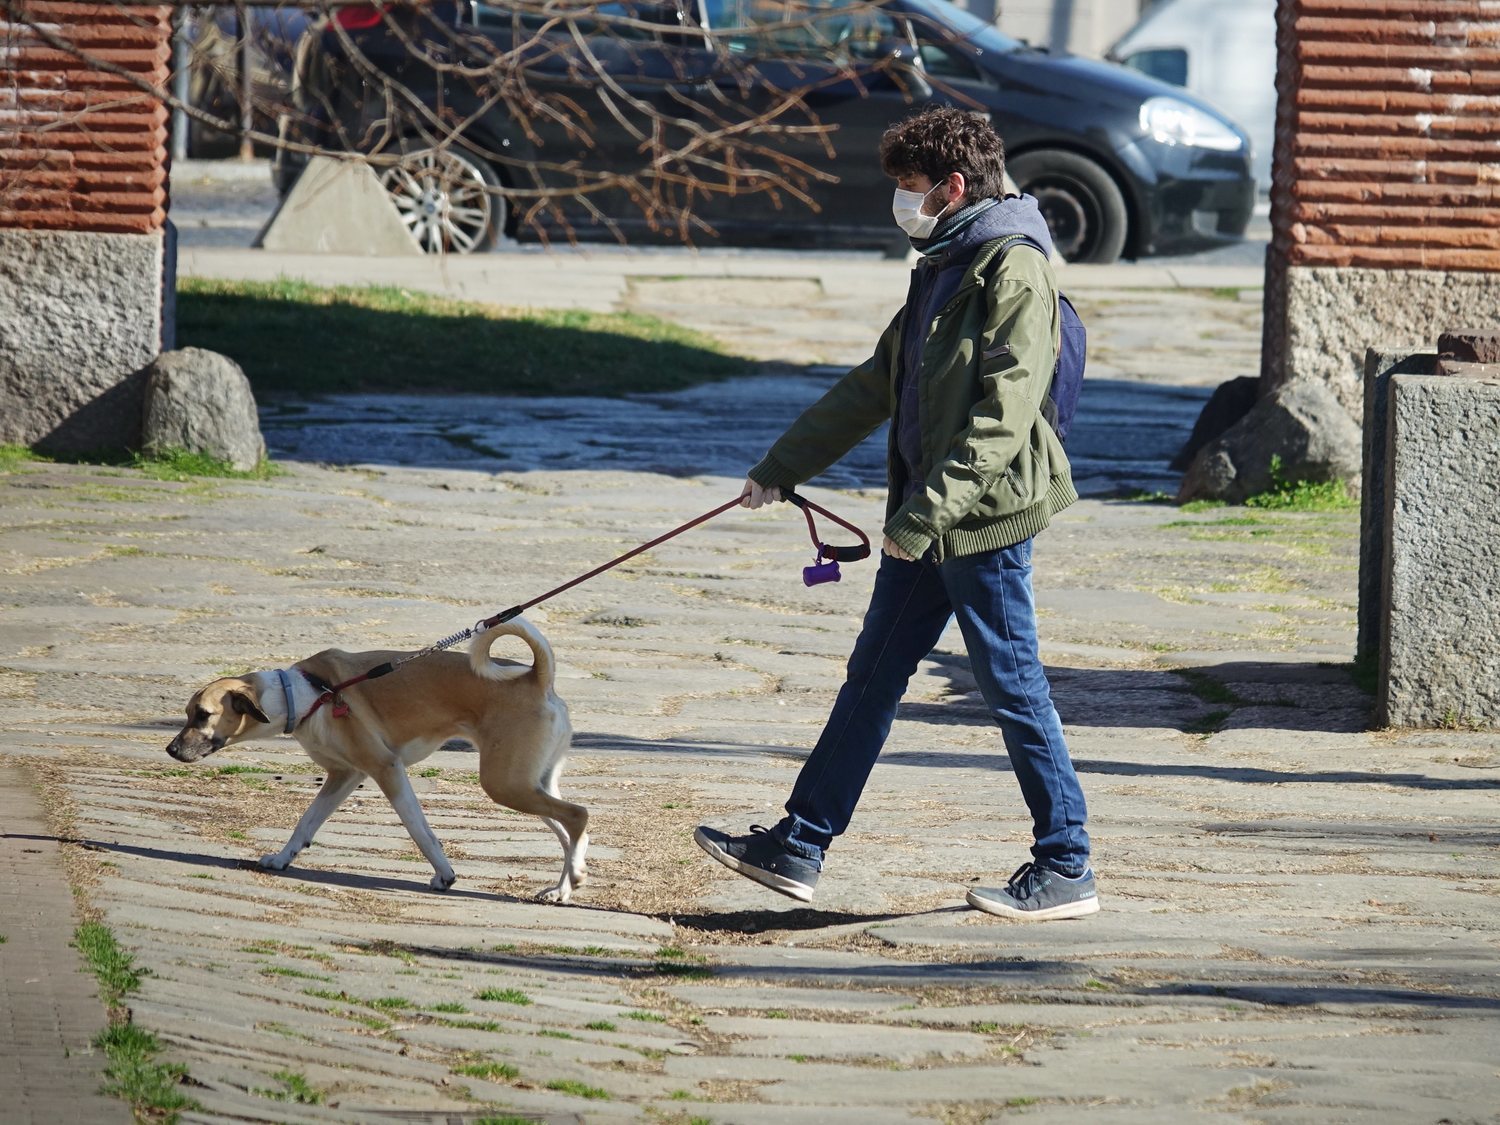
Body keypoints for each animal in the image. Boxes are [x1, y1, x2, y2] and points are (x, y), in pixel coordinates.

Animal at [165, 621, 585, 906]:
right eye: (187, 714)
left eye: (202, 715)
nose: (171, 750)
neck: (305, 694)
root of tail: (536, 678)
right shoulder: (344, 775)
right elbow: (306, 823)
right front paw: (282, 859)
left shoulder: (386, 769)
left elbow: (420, 831)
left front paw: (444, 875)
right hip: (528, 783)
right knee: (567, 831)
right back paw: (564, 887)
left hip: (505, 783)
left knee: (577, 816)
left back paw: (575, 876)